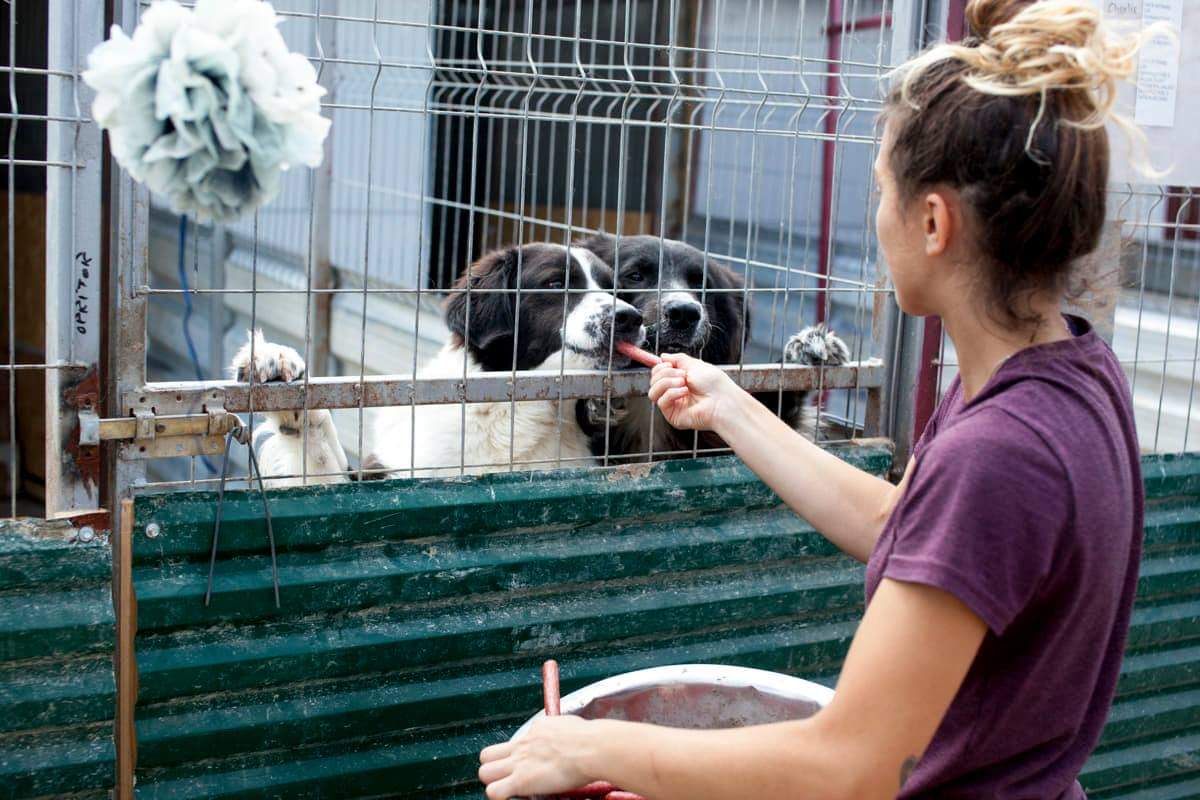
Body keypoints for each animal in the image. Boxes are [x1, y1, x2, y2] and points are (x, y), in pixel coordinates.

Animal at [231, 243, 645, 485]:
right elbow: (317, 454)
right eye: (555, 284)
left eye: (614, 289)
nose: (630, 318)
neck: (515, 414)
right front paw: (273, 362)